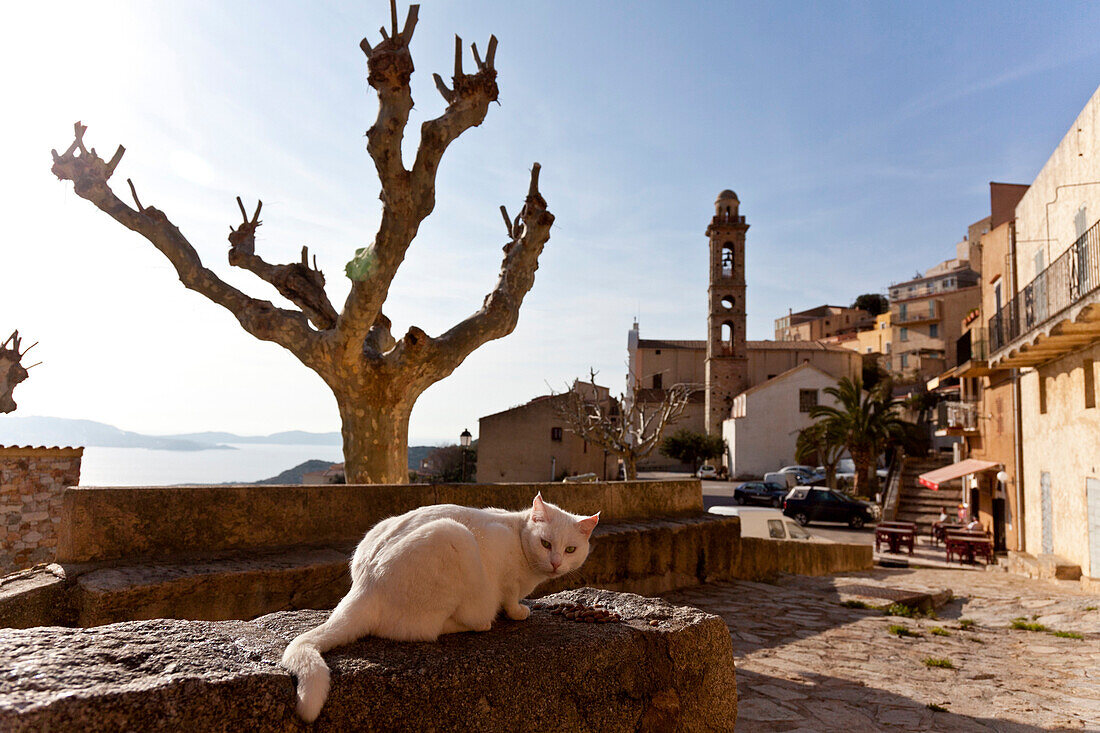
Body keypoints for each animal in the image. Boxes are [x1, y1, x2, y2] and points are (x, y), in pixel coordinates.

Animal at [279, 490, 598, 717]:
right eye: (545, 544)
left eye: (570, 550)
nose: (556, 563)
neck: (518, 534)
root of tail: (364, 587)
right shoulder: (505, 577)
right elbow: (509, 598)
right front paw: (518, 611)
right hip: (453, 537)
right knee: (440, 627)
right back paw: (481, 621)